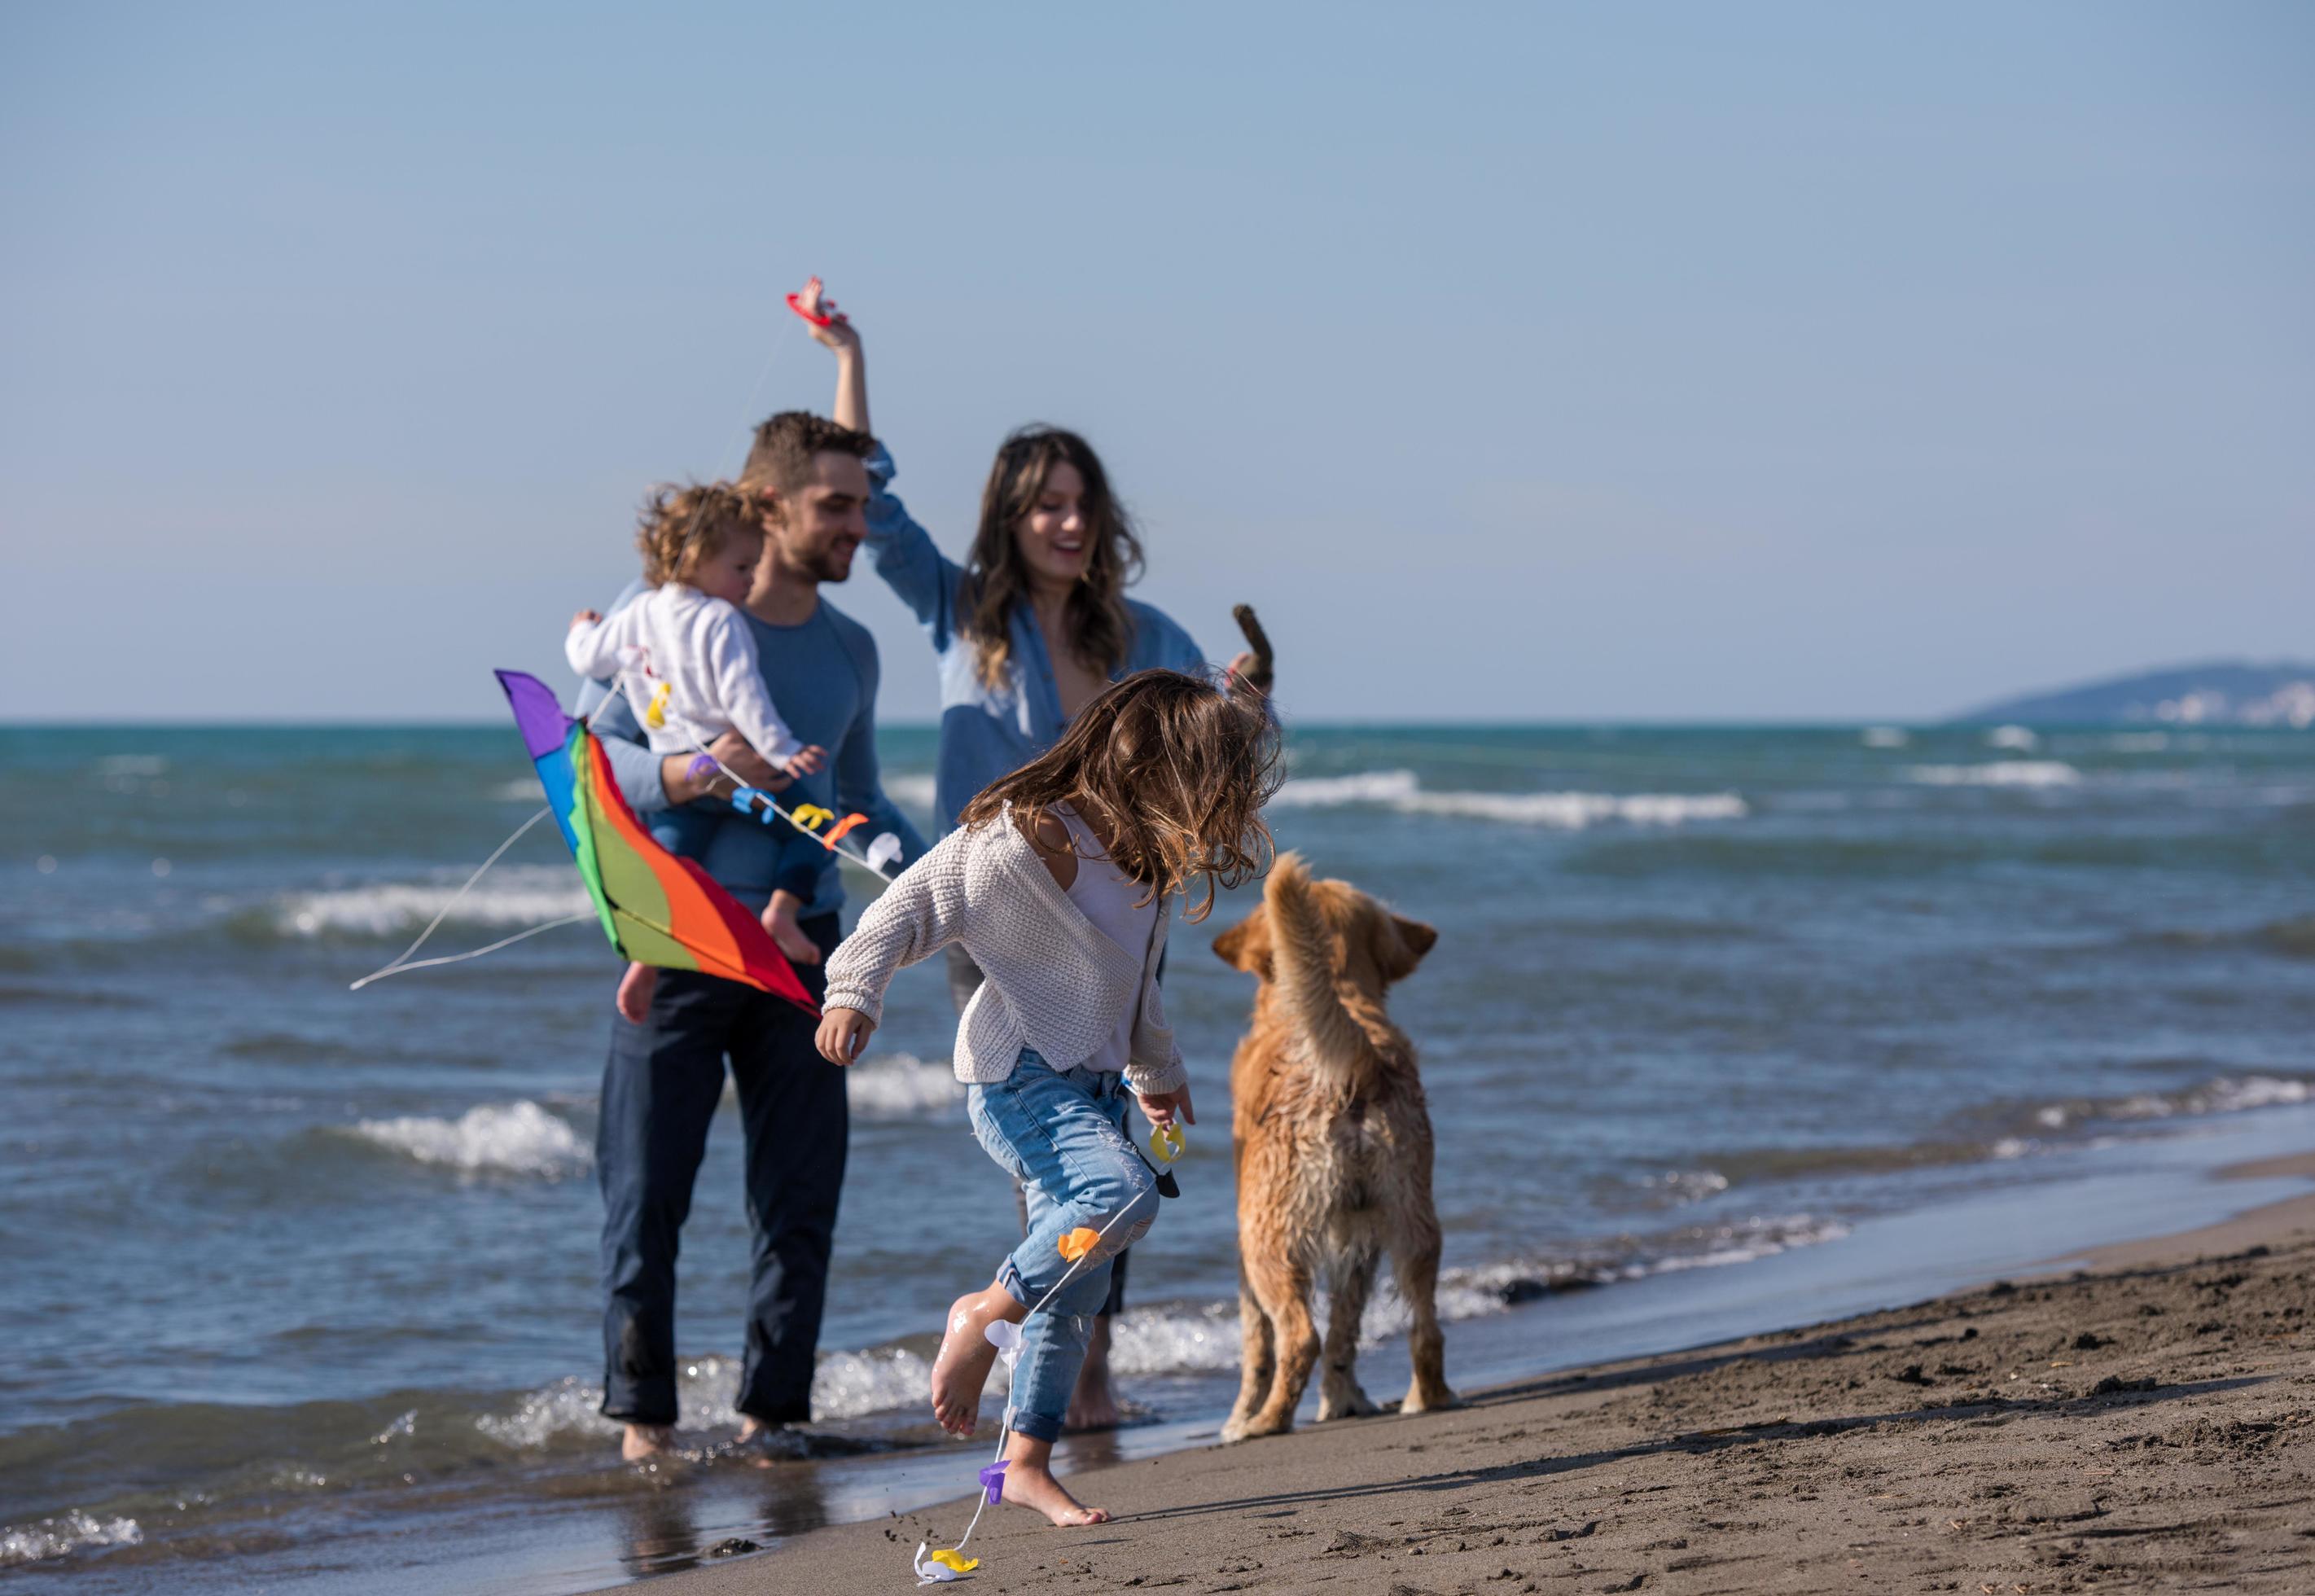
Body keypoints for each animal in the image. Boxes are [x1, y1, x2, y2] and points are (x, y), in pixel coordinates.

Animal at [1212, 852, 1445, 1436]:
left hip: (1267, 1241)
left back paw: (1264, 1422)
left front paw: (1239, 1415)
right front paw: (1344, 1401)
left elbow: (1256, 1342)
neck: (1341, 984)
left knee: (1298, 1338)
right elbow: (1346, 1331)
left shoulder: (1245, 1237)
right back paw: (1427, 1398)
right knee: (1425, 1328)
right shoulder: (1359, 1239)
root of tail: (1358, 1067)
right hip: (1412, 1224)